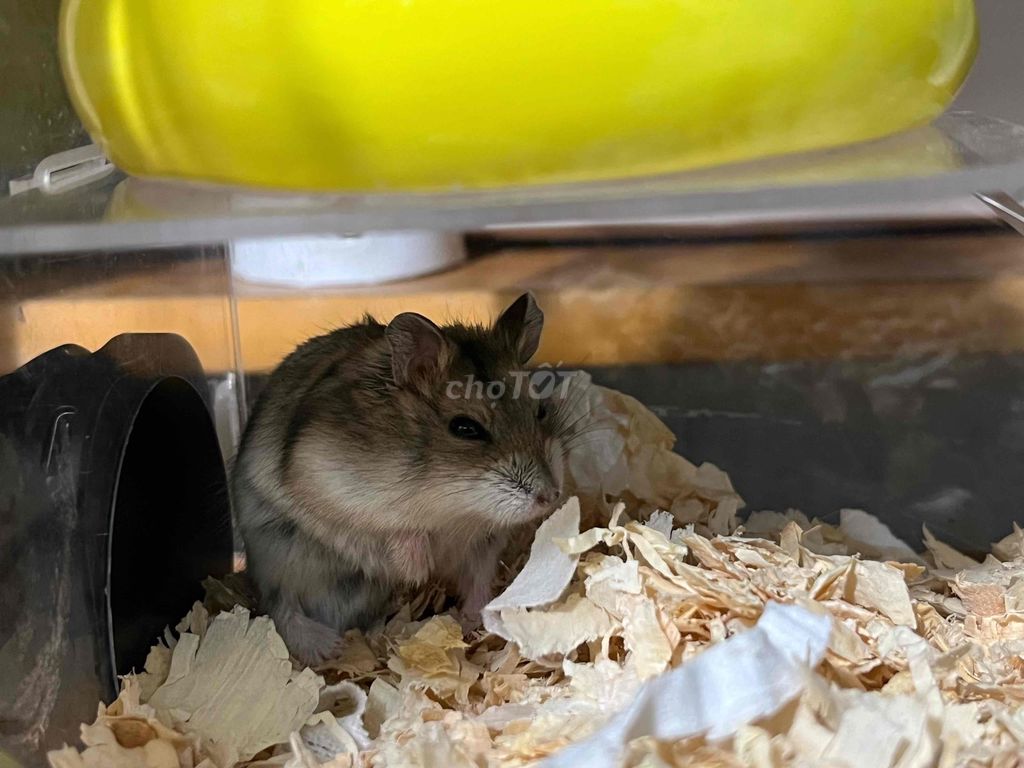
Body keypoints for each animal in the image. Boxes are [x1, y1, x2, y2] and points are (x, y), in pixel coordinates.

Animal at [232, 293, 568, 664]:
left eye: (541, 410)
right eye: (465, 428)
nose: (551, 497)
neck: (452, 506)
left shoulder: (484, 540)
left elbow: (479, 578)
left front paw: (472, 616)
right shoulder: (324, 483)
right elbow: (387, 531)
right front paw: (419, 569)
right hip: (275, 552)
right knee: (280, 604)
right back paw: (329, 647)